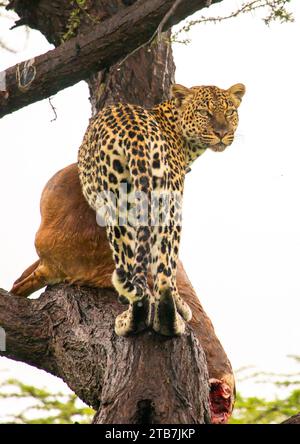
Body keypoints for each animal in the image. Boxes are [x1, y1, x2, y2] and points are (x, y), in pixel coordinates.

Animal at [78, 82, 245, 336]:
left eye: (229, 112)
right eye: (204, 112)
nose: (222, 133)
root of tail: (135, 135)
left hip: (125, 204)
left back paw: (139, 317)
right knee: (163, 268)